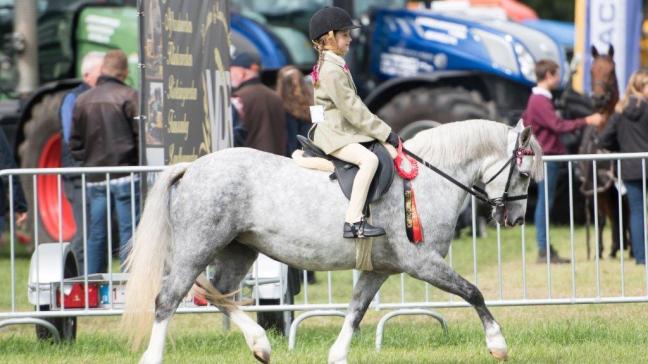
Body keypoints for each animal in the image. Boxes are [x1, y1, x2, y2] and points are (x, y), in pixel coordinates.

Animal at [121, 118, 540, 362]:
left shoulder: (380, 269)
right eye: (523, 172)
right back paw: (154, 357)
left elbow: (356, 310)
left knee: (214, 293)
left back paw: (261, 344)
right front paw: (497, 344)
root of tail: (191, 167)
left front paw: (337, 354)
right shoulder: (422, 263)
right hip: (197, 247)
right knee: (169, 299)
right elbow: (473, 293)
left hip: (238, 250)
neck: (424, 180)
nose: (516, 218)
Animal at [576, 46, 632, 258]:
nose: (598, 99)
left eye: (611, 70)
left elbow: (623, 213)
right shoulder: (596, 187)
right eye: (592, 71)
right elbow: (600, 218)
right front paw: (600, 251)